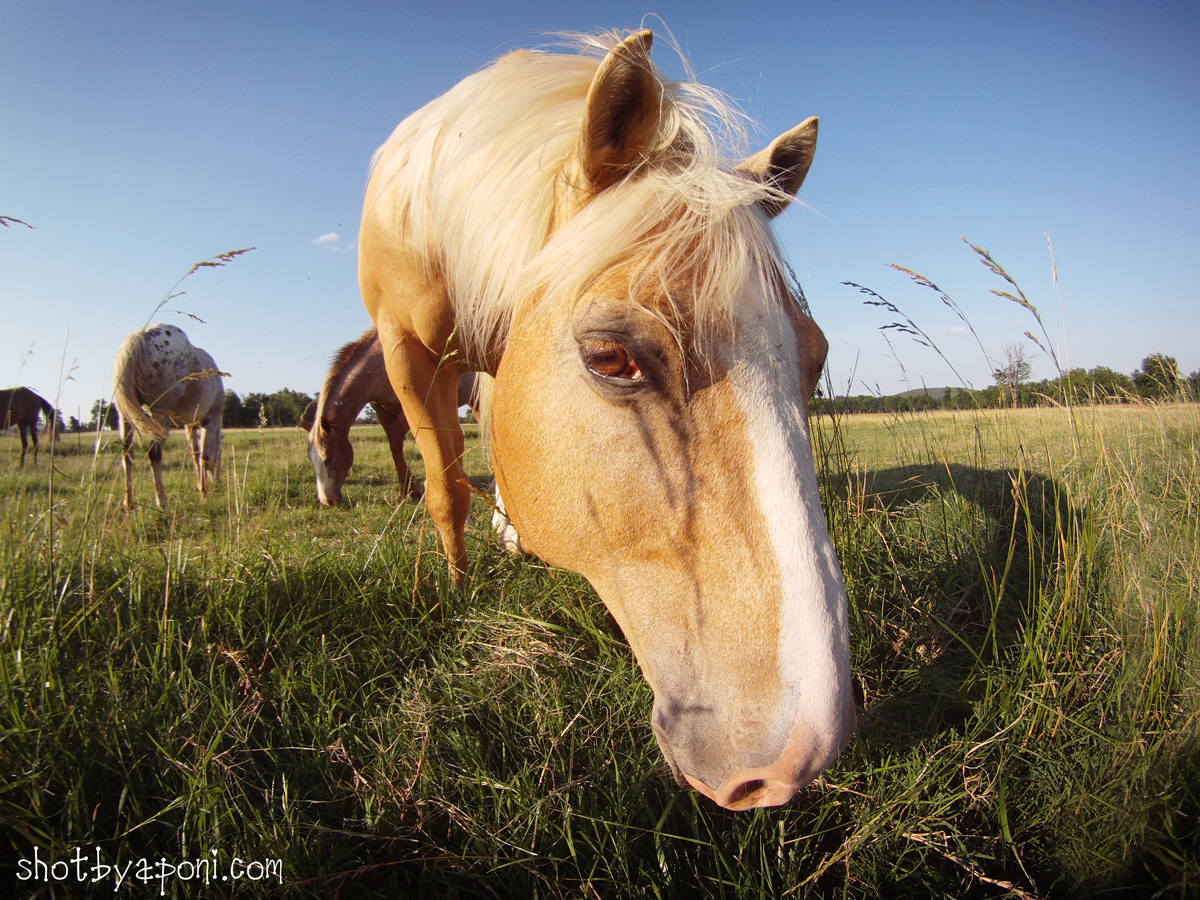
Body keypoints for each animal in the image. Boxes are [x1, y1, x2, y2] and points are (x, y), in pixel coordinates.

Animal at [111, 324, 225, 510]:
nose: (217, 480)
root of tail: (138, 337)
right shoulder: (211, 420)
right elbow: (204, 456)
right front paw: (204, 493)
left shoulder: (190, 426)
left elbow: (195, 455)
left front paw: (200, 487)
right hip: (160, 415)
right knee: (154, 454)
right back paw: (162, 502)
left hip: (124, 416)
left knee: (127, 454)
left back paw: (129, 503)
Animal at [301, 327, 477, 506]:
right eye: (311, 459)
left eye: (328, 458)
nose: (327, 500)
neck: (379, 364)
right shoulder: (383, 412)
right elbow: (394, 448)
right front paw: (405, 490)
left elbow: (396, 443)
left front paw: (411, 489)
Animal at [359, 30, 853, 811]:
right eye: (609, 357)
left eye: (816, 357)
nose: (797, 759)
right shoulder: (406, 350)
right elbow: (444, 487)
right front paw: (459, 593)